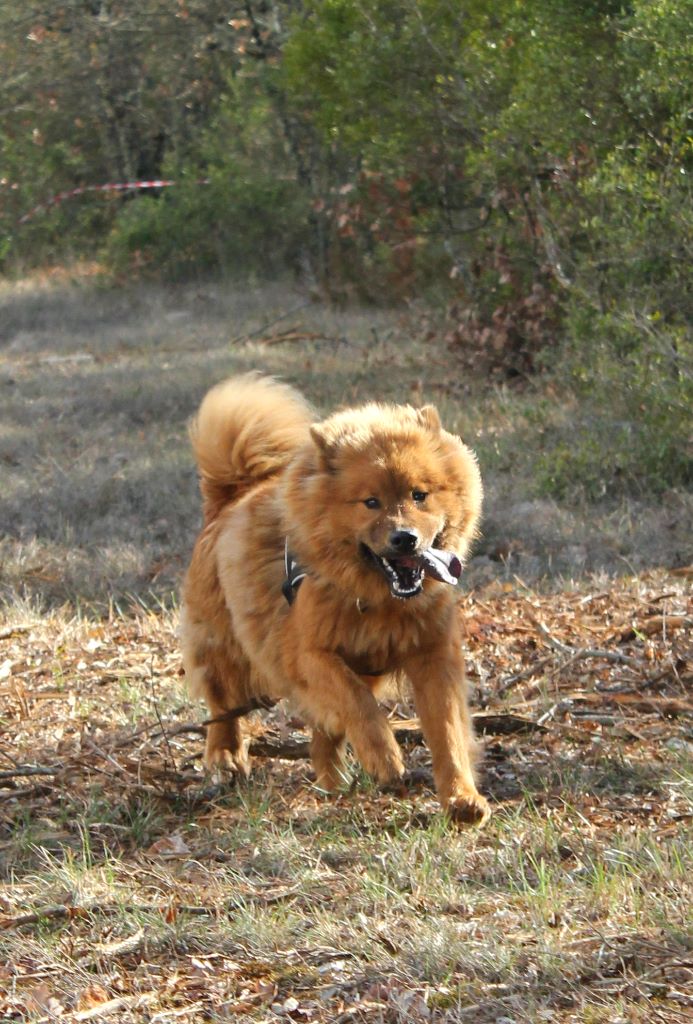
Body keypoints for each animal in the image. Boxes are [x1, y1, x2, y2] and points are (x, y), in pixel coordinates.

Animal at [181, 376, 489, 823]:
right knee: (223, 706)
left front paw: (462, 798)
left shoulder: (433, 656)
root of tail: (232, 494)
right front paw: (384, 758)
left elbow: (447, 733)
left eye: (419, 495)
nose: (405, 538)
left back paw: (333, 782)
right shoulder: (309, 655)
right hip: (224, 647)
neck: (381, 600)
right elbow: (358, 704)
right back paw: (225, 758)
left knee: (321, 732)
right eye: (371, 502)